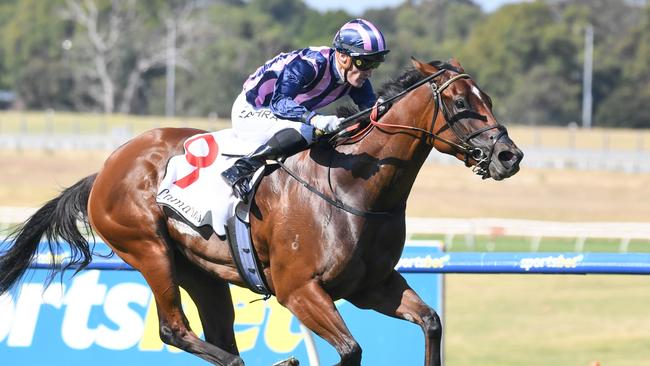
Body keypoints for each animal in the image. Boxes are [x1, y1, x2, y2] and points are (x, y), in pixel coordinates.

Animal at [0, 58, 520, 364]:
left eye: (489, 100)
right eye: (460, 102)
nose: (508, 156)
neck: (354, 186)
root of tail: (107, 168)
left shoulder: (373, 286)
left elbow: (431, 322)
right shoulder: (299, 289)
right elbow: (350, 349)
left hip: (202, 271)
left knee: (216, 331)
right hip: (149, 249)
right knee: (174, 329)